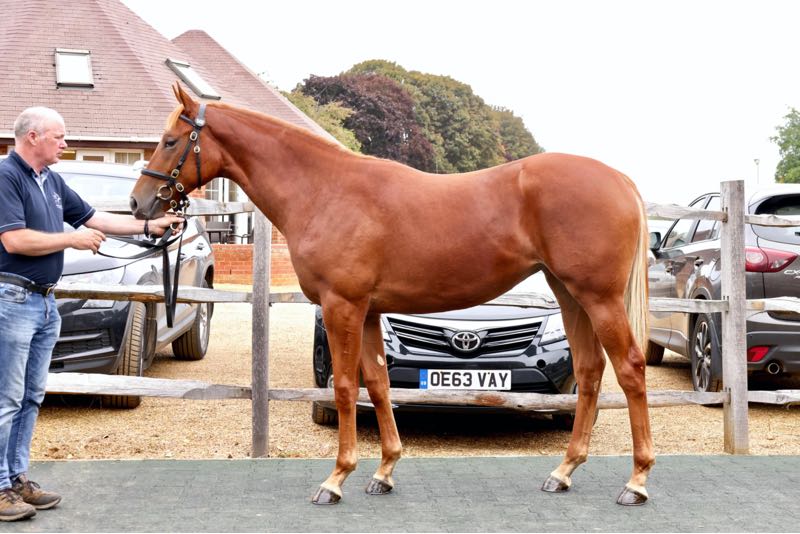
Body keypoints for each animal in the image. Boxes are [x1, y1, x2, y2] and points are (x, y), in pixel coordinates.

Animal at [130, 82, 654, 506]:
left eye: (170, 141)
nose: (139, 204)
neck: (324, 191)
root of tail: (621, 180)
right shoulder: (367, 312)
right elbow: (378, 385)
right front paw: (383, 473)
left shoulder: (342, 306)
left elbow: (344, 387)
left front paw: (335, 480)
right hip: (570, 295)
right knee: (590, 372)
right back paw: (563, 473)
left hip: (599, 298)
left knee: (629, 368)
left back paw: (636, 482)